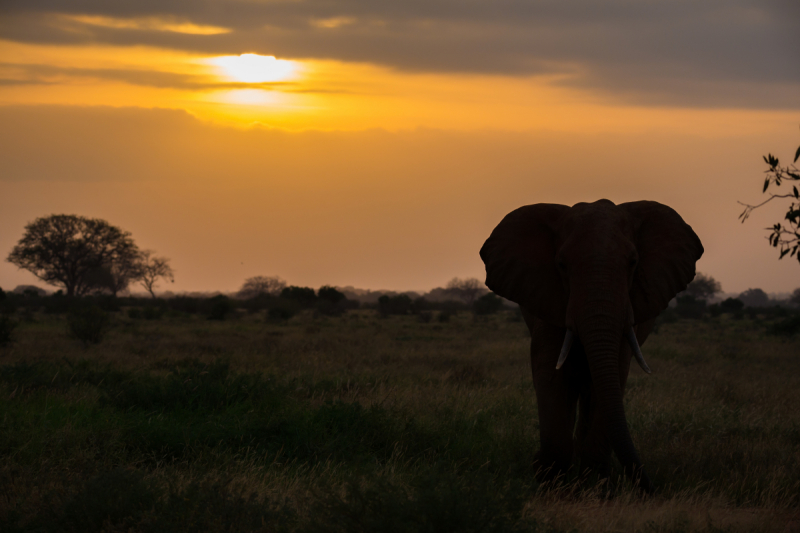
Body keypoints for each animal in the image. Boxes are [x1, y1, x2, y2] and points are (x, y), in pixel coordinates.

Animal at [478, 198, 704, 490]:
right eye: (561, 264)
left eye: (633, 262)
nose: (651, 488)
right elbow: (550, 372)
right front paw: (551, 483)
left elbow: (612, 375)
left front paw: (595, 487)